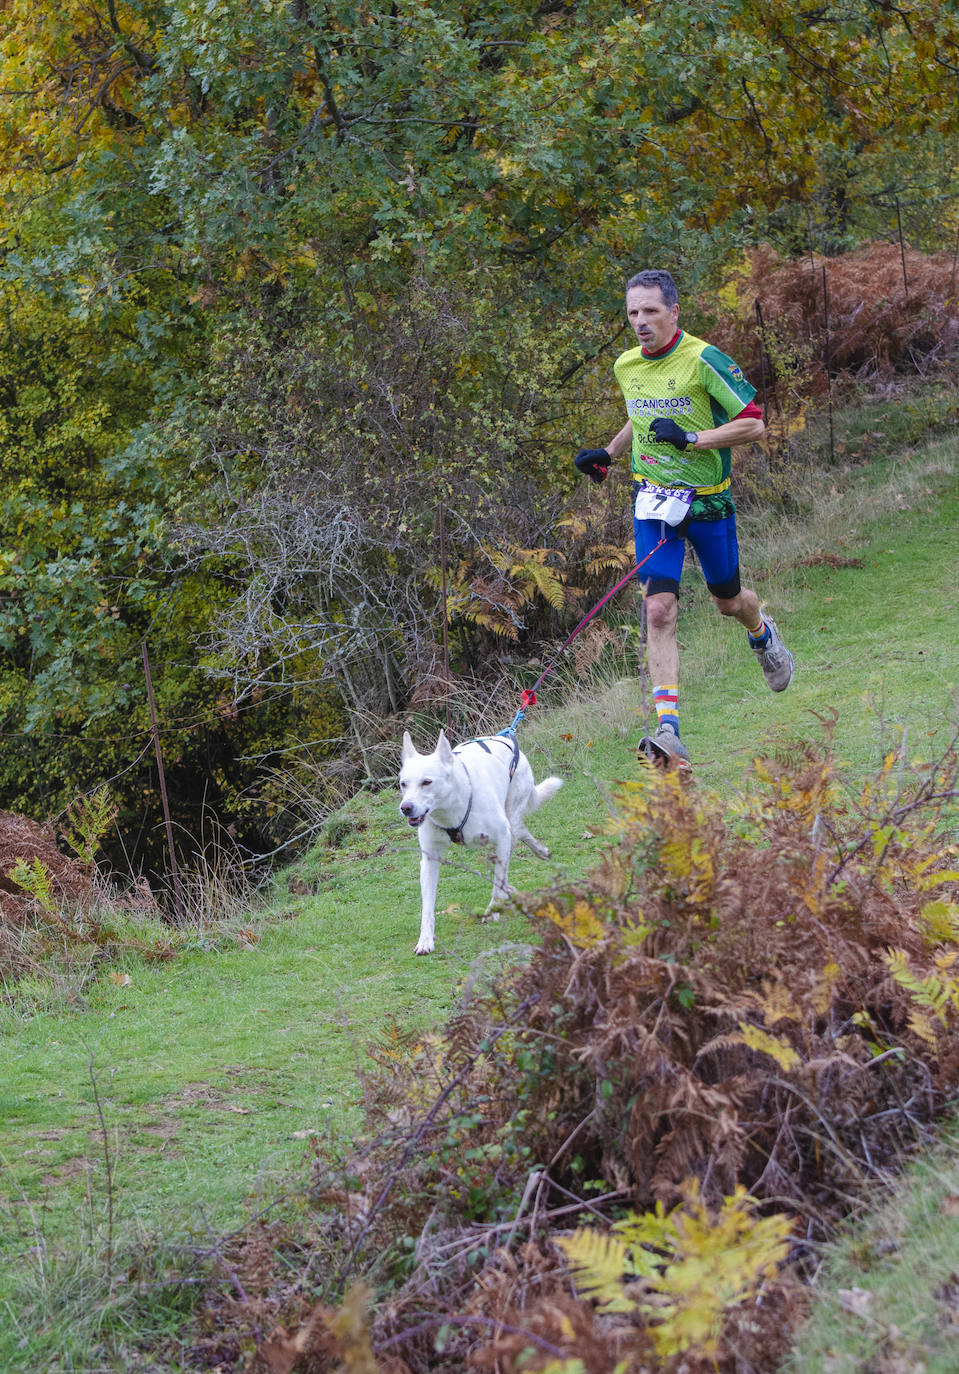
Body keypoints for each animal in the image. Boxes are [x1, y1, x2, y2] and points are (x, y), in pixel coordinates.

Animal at [395, 730, 560, 956]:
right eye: (404, 784)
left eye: (427, 782)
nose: (406, 808)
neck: (451, 808)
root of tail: (507, 737)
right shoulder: (430, 859)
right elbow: (427, 907)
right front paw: (426, 940)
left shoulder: (502, 837)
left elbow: (498, 883)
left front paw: (493, 911)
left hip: (510, 820)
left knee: (513, 842)